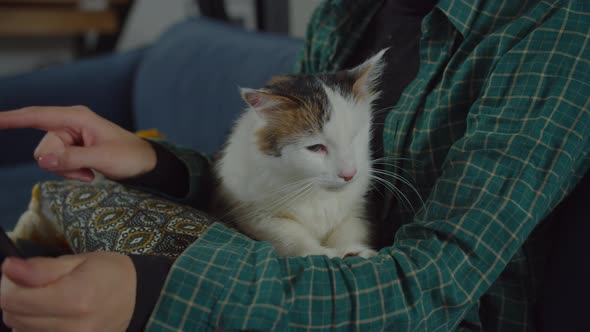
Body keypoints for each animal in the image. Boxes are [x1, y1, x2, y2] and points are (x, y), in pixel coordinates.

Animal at [214, 49, 388, 258]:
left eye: (354, 137)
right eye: (315, 148)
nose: (349, 174)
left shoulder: (356, 209)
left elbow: (350, 228)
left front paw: (353, 249)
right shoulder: (252, 212)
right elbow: (292, 238)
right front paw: (329, 253)